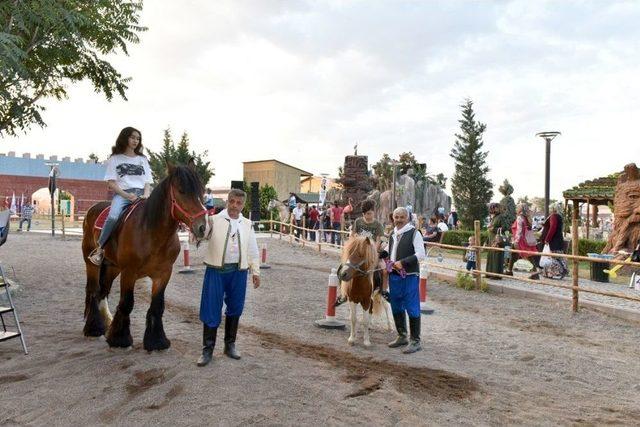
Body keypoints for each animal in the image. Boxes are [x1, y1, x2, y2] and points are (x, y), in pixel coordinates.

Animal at [82, 160, 208, 352]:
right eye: (181, 190)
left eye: (201, 191)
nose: (202, 227)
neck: (150, 231)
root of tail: (92, 209)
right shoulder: (129, 272)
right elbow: (127, 303)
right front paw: (120, 339)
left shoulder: (163, 274)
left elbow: (157, 306)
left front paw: (156, 341)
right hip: (92, 264)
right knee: (93, 290)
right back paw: (94, 328)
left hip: (112, 267)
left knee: (103, 291)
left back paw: (107, 324)